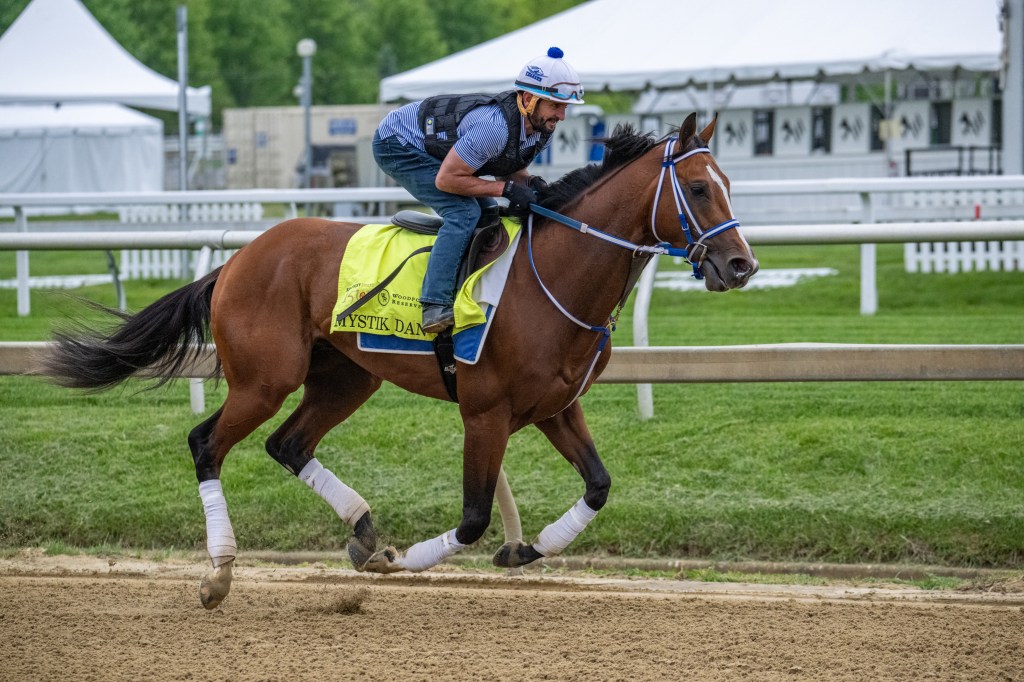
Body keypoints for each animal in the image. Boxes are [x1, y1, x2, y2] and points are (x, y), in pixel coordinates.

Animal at [39, 111, 757, 606]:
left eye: (728, 184)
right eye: (698, 188)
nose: (741, 265)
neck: (551, 275)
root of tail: (238, 258)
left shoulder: (556, 406)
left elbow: (599, 485)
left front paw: (528, 549)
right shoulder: (485, 412)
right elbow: (471, 519)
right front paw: (402, 560)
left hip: (346, 377)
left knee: (287, 444)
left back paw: (360, 526)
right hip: (265, 378)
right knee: (206, 443)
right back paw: (219, 574)